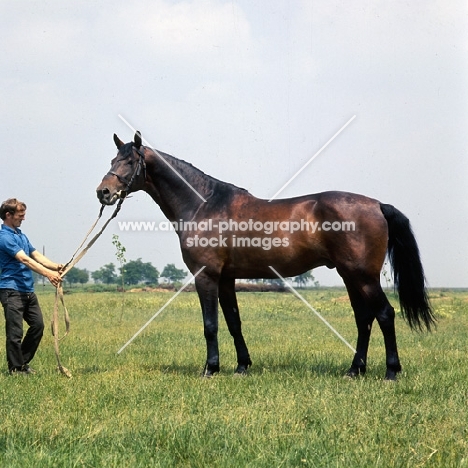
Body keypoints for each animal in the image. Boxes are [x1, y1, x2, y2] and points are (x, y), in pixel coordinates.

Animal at [96, 132, 436, 380]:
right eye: (113, 158)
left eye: (129, 161)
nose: (103, 192)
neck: (204, 205)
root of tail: (377, 204)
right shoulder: (226, 279)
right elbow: (233, 322)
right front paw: (241, 366)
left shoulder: (206, 276)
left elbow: (210, 324)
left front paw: (211, 369)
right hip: (350, 276)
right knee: (364, 318)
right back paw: (354, 370)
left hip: (363, 276)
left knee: (385, 314)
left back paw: (391, 372)